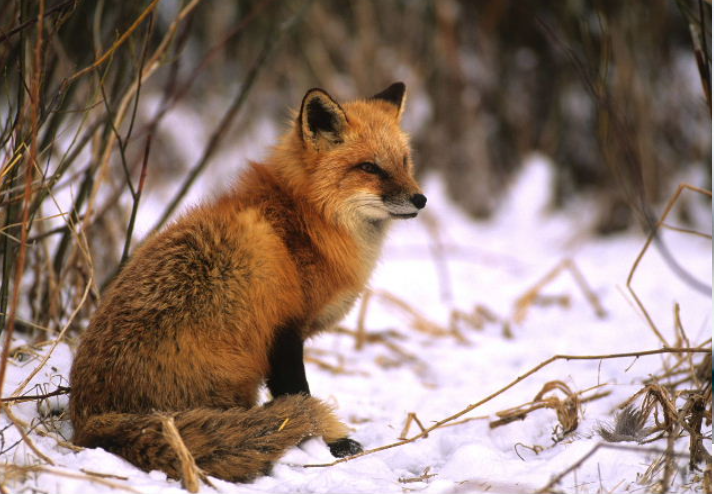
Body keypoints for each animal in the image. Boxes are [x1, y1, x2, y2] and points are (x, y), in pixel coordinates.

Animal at [69, 82, 426, 483]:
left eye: (404, 162)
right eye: (369, 167)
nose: (421, 199)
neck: (304, 221)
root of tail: (90, 420)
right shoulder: (283, 333)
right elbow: (299, 393)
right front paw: (328, 446)